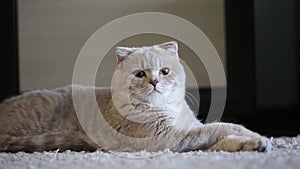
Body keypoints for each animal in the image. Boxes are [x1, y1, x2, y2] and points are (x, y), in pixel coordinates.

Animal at [0, 41, 272, 152]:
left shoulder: (186, 131)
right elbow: (216, 128)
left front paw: (255, 143)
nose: (154, 81)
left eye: (164, 71)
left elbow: (220, 138)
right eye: (140, 73)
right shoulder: (168, 137)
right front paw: (252, 134)